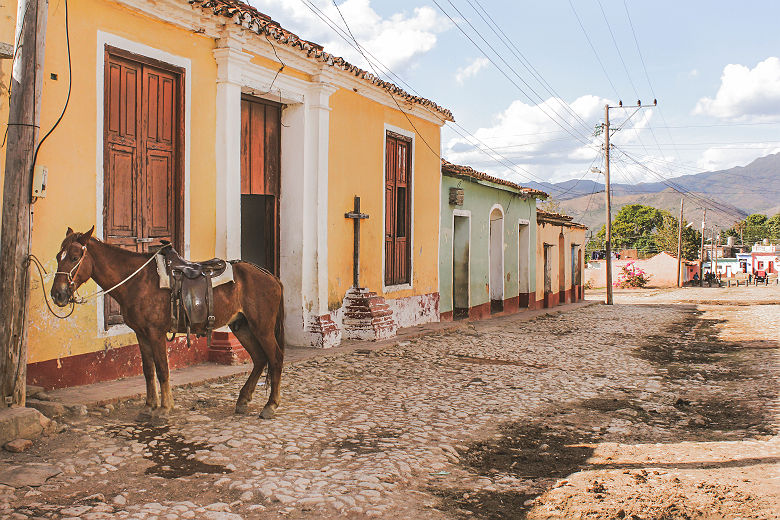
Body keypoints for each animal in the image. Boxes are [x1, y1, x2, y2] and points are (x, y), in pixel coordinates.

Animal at [50, 226, 284, 418]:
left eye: (74, 257)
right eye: (58, 256)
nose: (57, 294)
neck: (137, 280)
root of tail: (272, 277)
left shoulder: (155, 332)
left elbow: (162, 368)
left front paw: (164, 408)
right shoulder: (141, 333)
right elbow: (148, 370)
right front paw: (148, 407)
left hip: (262, 328)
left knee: (275, 358)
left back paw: (270, 405)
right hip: (242, 326)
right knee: (260, 358)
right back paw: (243, 400)